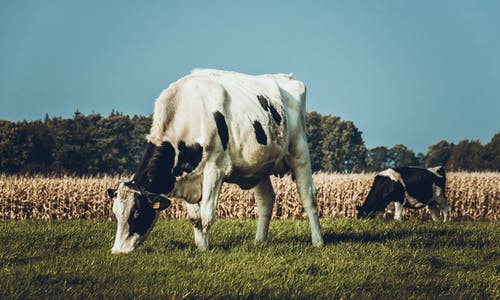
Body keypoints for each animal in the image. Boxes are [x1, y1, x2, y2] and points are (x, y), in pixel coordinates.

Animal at [106, 68, 324, 253]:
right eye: (116, 213)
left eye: (136, 213)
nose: (117, 251)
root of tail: (287, 77)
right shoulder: (187, 179)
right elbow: (195, 218)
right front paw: (201, 247)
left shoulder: (215, 169)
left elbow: (206, 215)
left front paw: (206, 250)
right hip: (259, 166)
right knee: (266, 201)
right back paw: (259, 241)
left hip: (299, 153)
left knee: (309, 198)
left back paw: (318, 241)